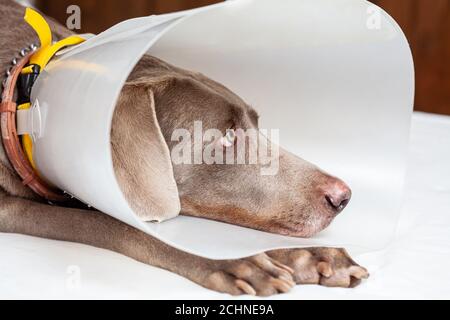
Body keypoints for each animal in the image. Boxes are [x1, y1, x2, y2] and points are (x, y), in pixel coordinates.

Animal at [0, 0, 368, 296]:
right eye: (225, 138)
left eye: (257, 124)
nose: (343, 197)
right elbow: (114, 223)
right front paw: (239, 261)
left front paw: (314, 255)